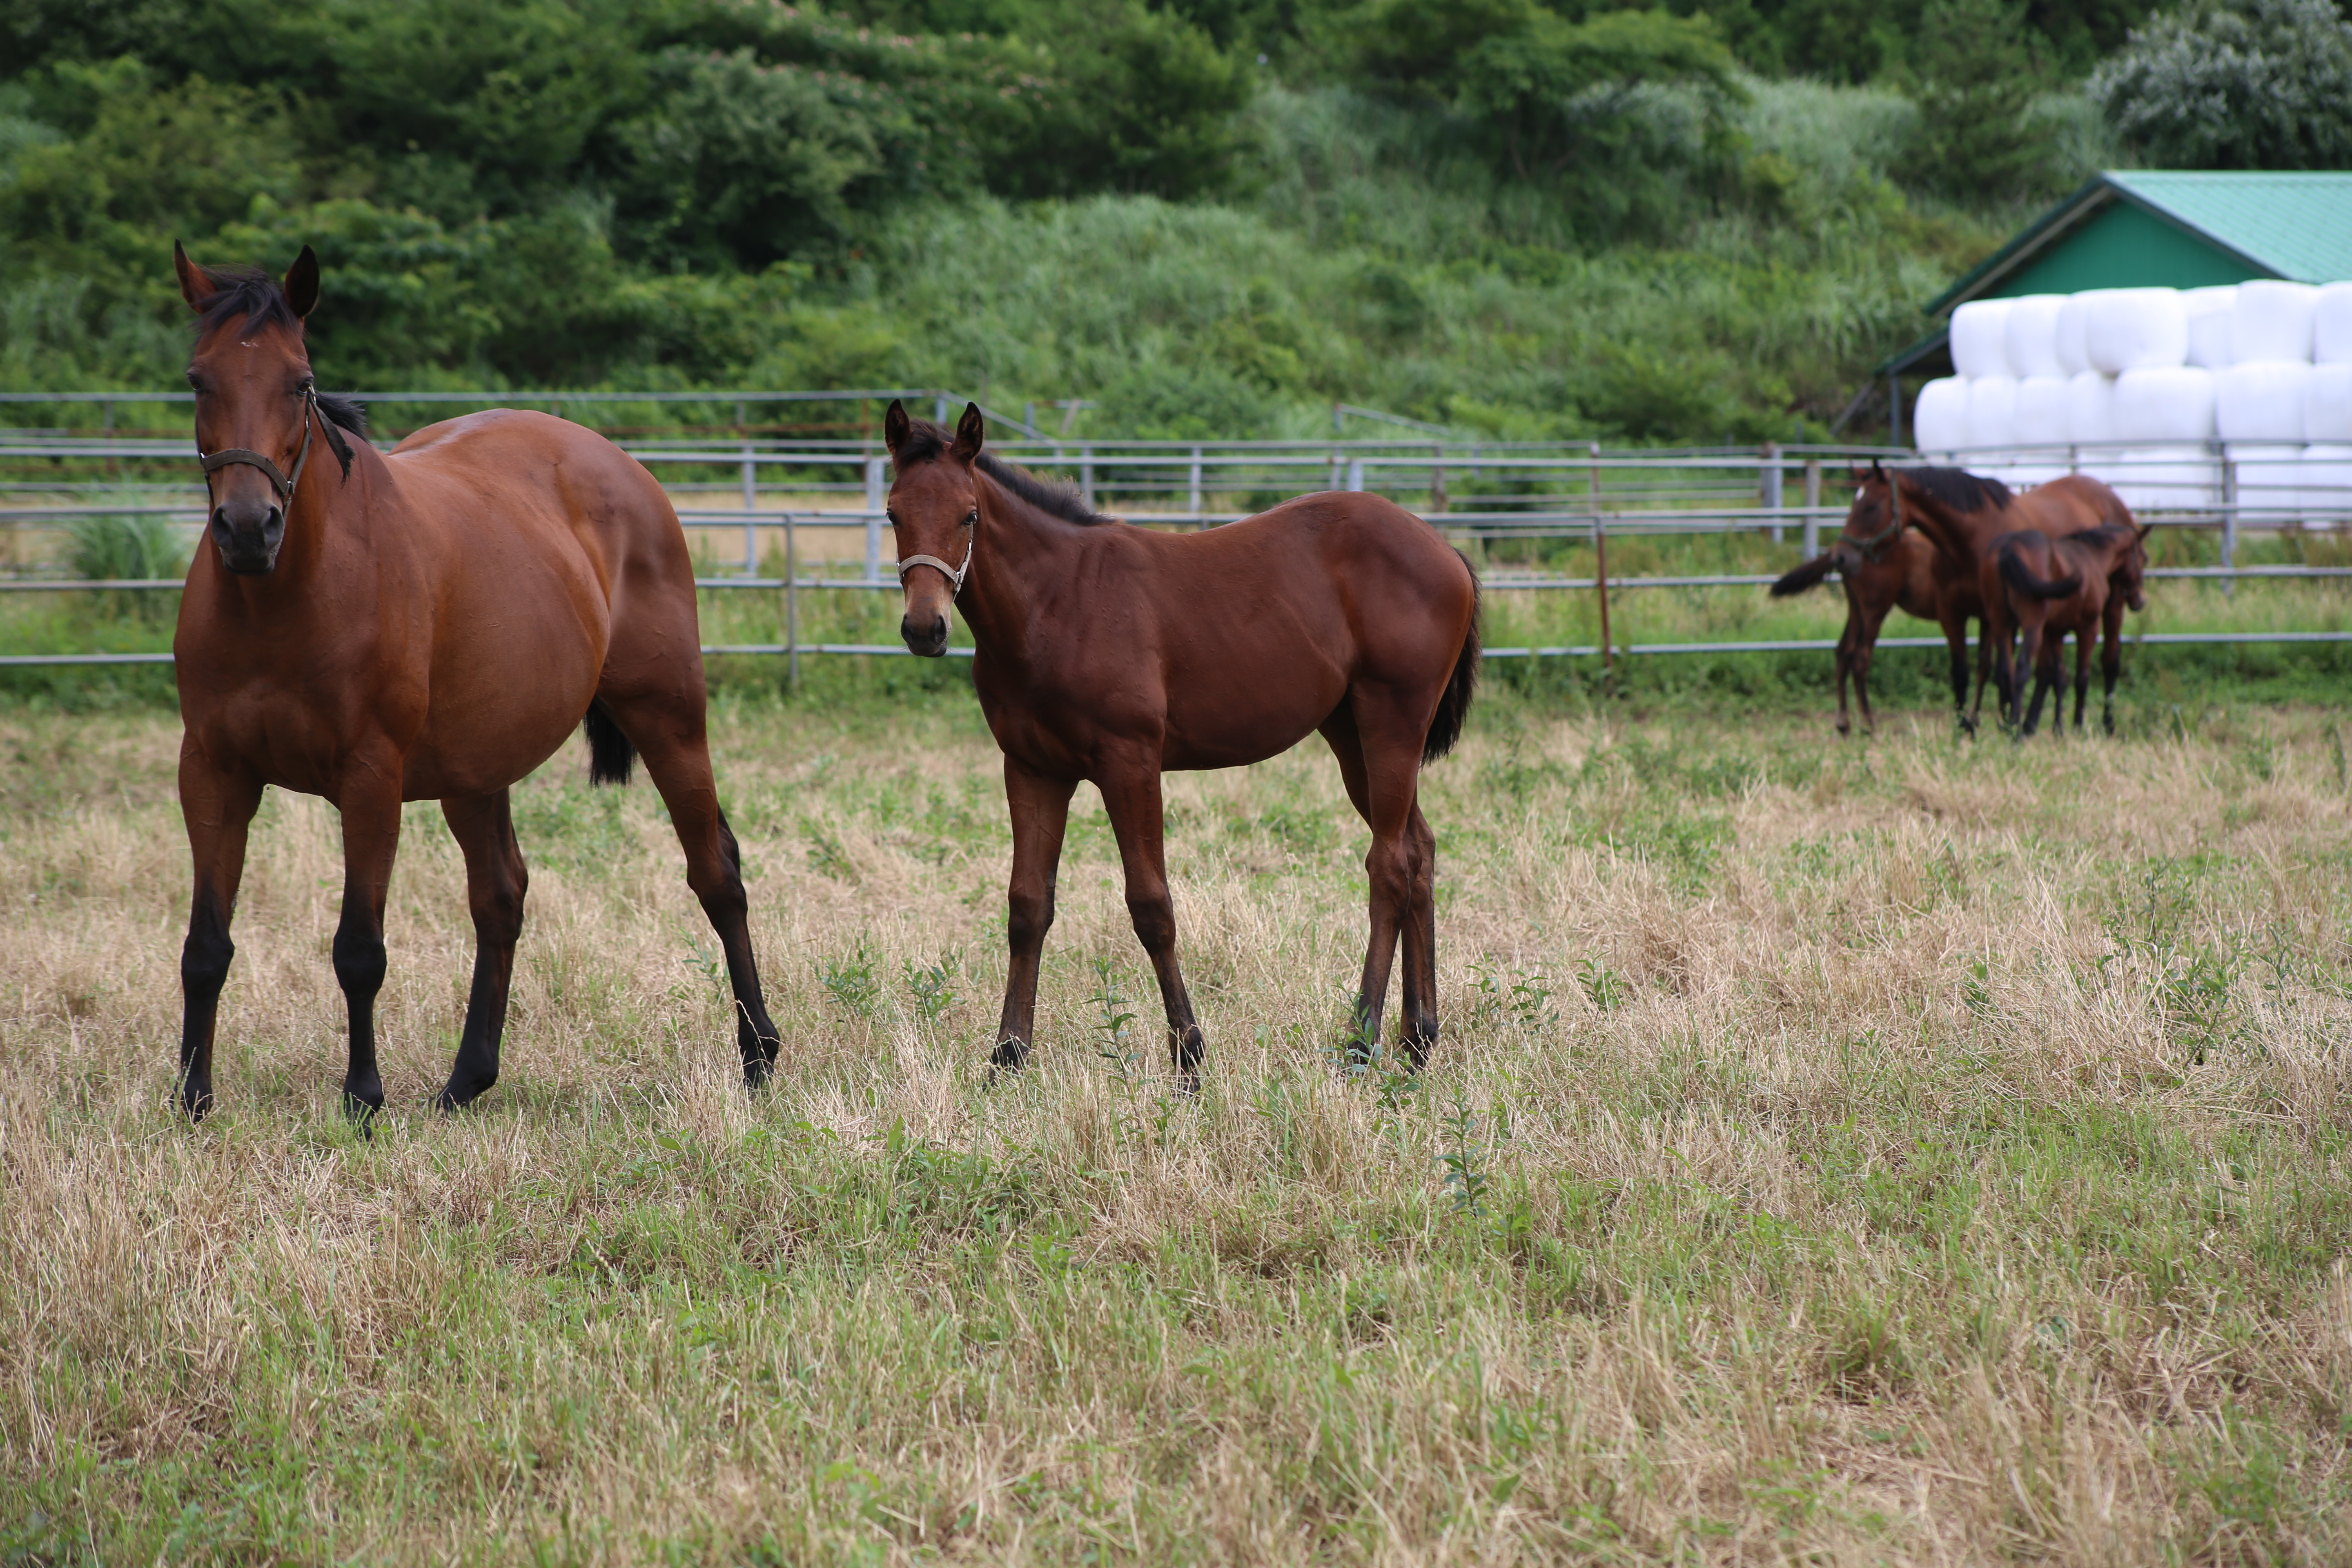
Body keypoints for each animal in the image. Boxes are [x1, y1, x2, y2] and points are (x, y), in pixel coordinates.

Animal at [176, 245, 781, 1114]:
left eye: (299, 381)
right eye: (200, 380)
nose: (249, 528)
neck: (283, 597)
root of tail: (621, 467)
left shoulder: (370, 780)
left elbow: (359, 950)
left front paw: (362, 1098)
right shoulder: (213, 773)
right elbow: (206, 946)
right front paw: (192, 1098)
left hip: (670, 720)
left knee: (717, 875)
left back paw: (759, 1053)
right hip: (475, 771)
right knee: (501, 897)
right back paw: (469, 1076)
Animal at [889, 404, 1477, 1086]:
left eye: (969, 515)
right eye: (893, 513)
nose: (924, 628)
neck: (1057, 601)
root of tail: (1444, 550)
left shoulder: (1131, 764)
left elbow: (1151, 906)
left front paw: (1189, 1054)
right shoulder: (1033, 769)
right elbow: (1027, 907)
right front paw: (1008, 1055)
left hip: (1392, 725)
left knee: (1389, 866)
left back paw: (1361, 1043)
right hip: (1351, 735)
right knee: (1418, 850)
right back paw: (1418, 1039)